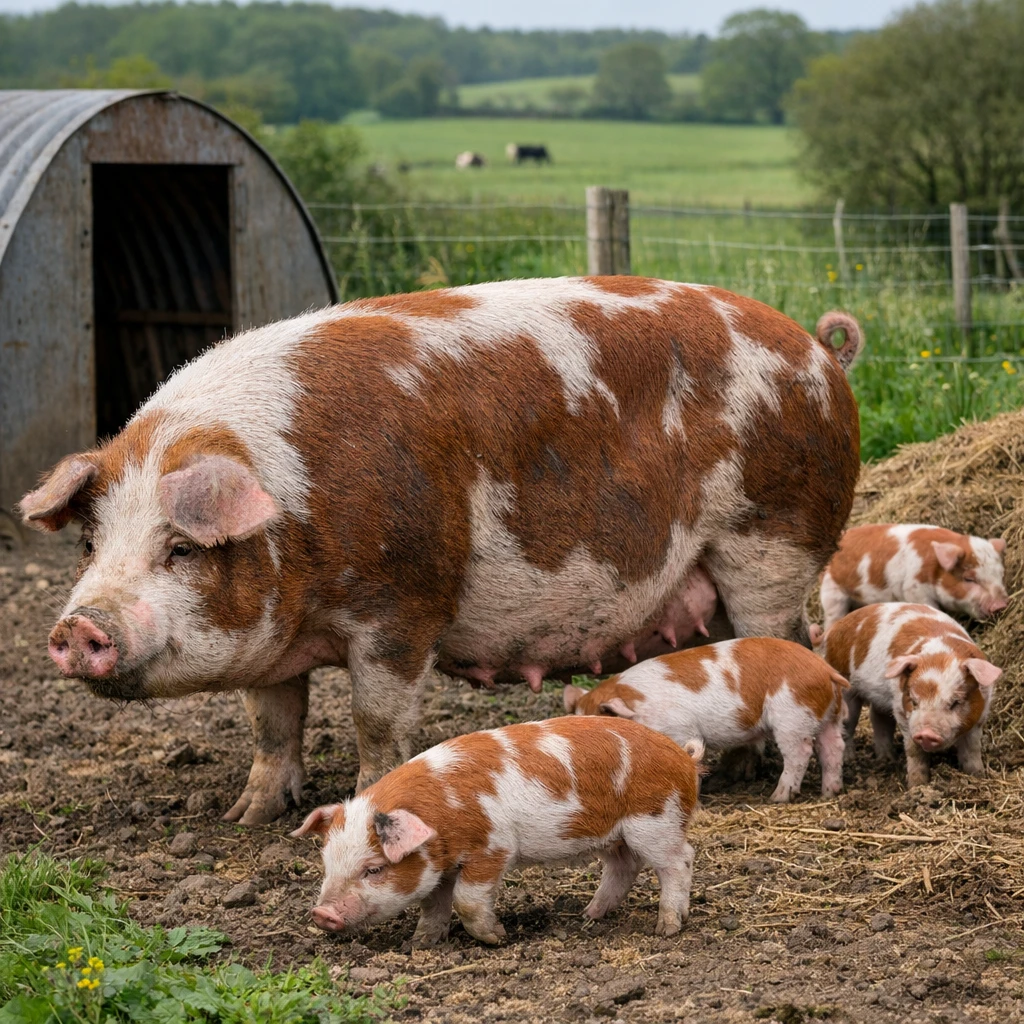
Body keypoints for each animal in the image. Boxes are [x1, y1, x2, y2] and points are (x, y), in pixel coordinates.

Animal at [291, 716, 704, 945]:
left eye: (374, 869)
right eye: (327, 865)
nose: (322, 914)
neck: (445, 808)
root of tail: (684, 757)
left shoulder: (493, 847)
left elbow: (467, 900)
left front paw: (498, 938)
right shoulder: (438, 867)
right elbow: (433, 903)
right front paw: (421, 943)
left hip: (655, 821)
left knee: (679, 861)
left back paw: (667, 928)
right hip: (612, 833)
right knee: (623, 866)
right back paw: (590, 915)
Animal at [563, 638, 848, 803]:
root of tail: (826, 670)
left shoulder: (681, 729)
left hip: (792, 716)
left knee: (800, 752)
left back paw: (777, 798)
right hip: (827, 717)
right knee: (833, 747)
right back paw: (829, 792)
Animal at [812, 603, 1002, 786]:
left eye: (955, 702)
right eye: (914, 701)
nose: (926, 734)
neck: (941, 655)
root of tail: (830, 631)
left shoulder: (981, 715)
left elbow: (972, 749)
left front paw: (978, 775)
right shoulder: (901, 709)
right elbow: (914, 751)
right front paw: (916, 786)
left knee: (878, 719)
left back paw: (888, 759)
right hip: (845, 686)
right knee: (848, 724)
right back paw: (850, 759)